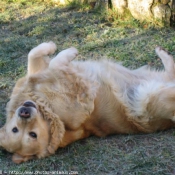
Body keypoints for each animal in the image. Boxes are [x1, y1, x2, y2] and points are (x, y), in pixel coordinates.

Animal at [0, 41, 175, 163]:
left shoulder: (37, 74)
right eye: (32, 134)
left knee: (171, 72)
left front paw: (51, 47)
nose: (24, 112)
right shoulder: (78, 92)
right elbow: (56, 62)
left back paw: (162, 52)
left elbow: (33, 54)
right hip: (154, 98)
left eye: (14, 129)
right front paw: (70, 51)